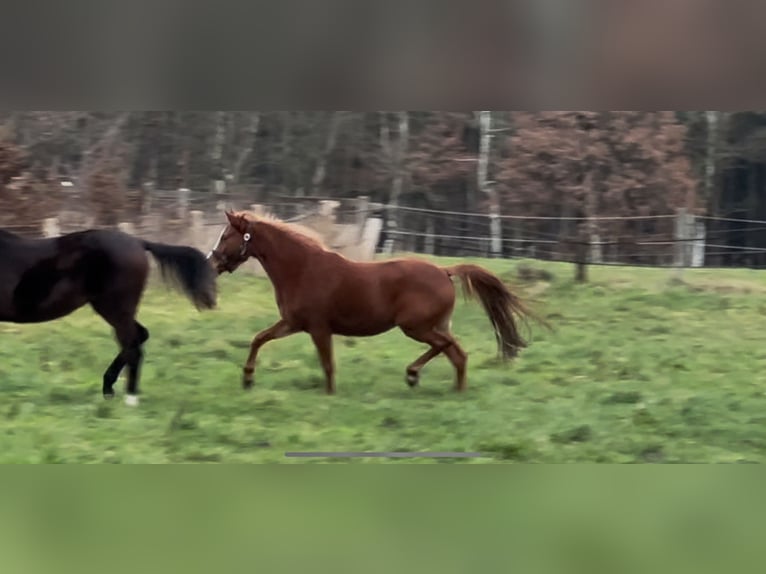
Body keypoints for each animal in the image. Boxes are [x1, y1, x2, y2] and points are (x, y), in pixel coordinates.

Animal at [1, 227, 218, 408]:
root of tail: (138, 242)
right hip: (115, 309)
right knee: (139, 337)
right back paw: (109, 388)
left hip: (115, 308)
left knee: (132, 346)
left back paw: (130, 399)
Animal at [208, 212, 544, 396]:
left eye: (225, 236)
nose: (211, 263)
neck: (302, 269)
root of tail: (444, 271)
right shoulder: (293, 323)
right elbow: (258, 338)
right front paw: (247, 379)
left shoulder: (318, 328)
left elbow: (327, 364)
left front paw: (329, 395)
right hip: (434, 325)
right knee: (457, 354)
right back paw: (450, 389)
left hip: (415, 327)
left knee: (448, 349)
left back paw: (415, 375)